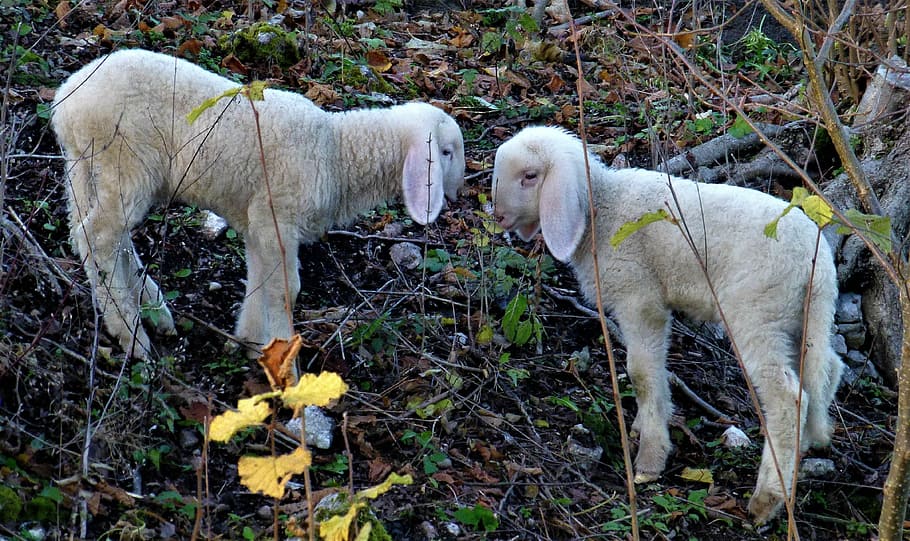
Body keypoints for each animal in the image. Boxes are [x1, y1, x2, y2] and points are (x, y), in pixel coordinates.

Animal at [51, 48, 465, 361]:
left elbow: (259, 279)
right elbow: (286, 290)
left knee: (91, 232)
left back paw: (151, 308)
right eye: (446, 152)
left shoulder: (257, 223)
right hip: (125, 164)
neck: (337, 152)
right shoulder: (276, 217)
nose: (458, 192)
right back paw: (131, 333)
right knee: (98, 236)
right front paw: (287, 371)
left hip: (88, 169)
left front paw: (250, 343)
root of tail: (64, 103)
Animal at [491, 126, 843, 524]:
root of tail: (817, 264)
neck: (603, 208)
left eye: (530, 176)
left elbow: (642, 373)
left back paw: (767, 497)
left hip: (757, 315)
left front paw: (649, 459)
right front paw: (644, 427)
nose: (498, 216)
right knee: (828, 369)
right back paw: (806, 447)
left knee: (787, 398)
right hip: (803, 319)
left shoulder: (639, 298)